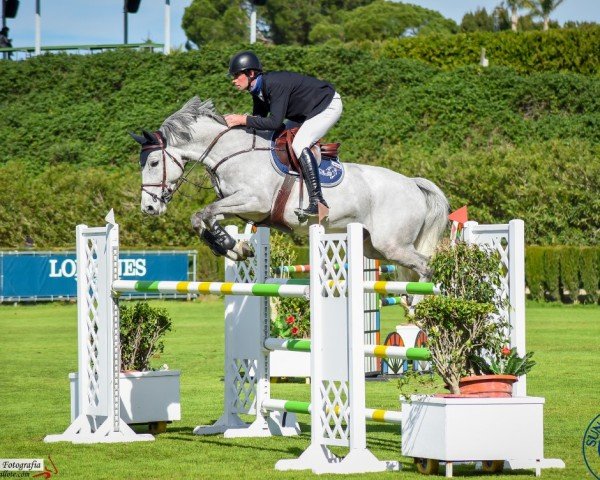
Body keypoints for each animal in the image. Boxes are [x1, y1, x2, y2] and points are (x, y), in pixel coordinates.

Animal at [132, 95, 450, 280]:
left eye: (153, 163)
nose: (148, 207)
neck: (231, 151)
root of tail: (412, 184)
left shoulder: (254, 201)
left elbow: (204, 213)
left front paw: (232, 246)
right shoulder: (241, 206)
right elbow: (203, 217)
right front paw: (234, 248)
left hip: (392, 244)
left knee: (425, 265)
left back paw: (419, 310)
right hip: (375, 248)